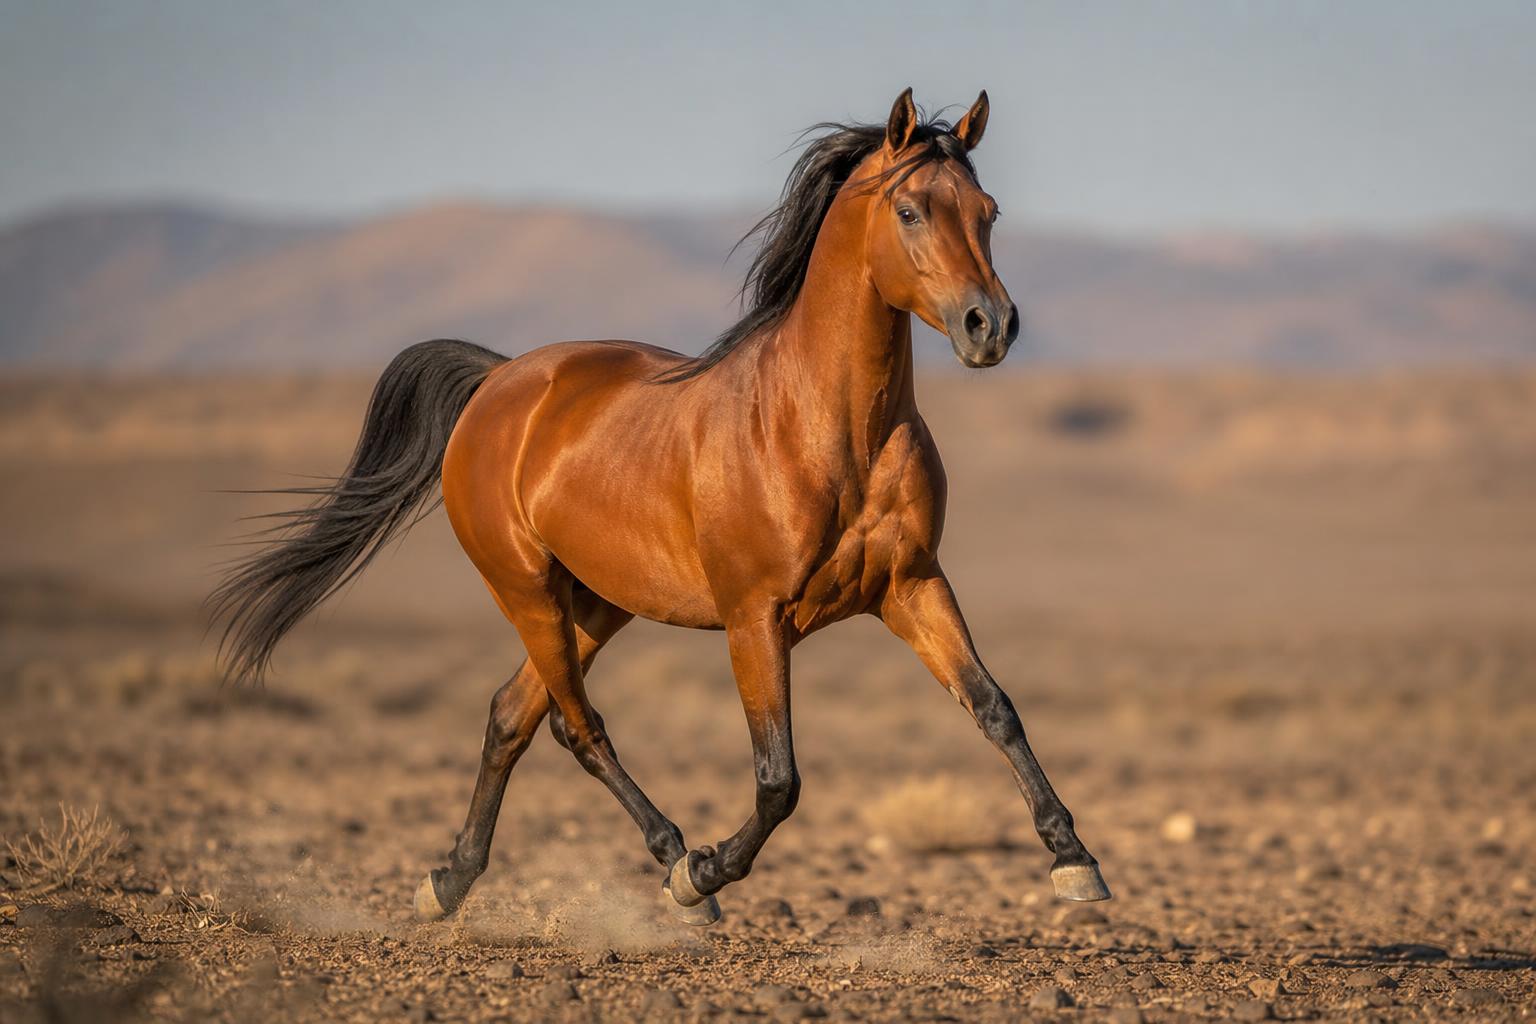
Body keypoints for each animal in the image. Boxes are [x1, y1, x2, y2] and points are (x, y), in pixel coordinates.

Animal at [212, 88, 1111, 927]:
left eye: (988, 213)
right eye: (911, 208)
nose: (990, 326)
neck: (828, 430)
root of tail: (500, 381)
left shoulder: (913, 585)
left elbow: (996, 710)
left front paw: (1075, 863)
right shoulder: (756, 618)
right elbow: (779, 780)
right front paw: (705, 872)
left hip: (597, 602)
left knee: (511, 714)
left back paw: (450, 880)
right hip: (526, 591)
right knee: (577, 726)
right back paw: (673, 863)